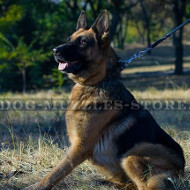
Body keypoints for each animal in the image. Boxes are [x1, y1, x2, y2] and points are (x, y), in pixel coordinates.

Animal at [24, 10, 184, 190]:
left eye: (82, 42)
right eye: (69, 39)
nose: (54, 50)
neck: (97, 82)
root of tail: (182, 170)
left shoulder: (80, 147)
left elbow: (57, 171)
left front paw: (36, 186)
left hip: (131, 156)